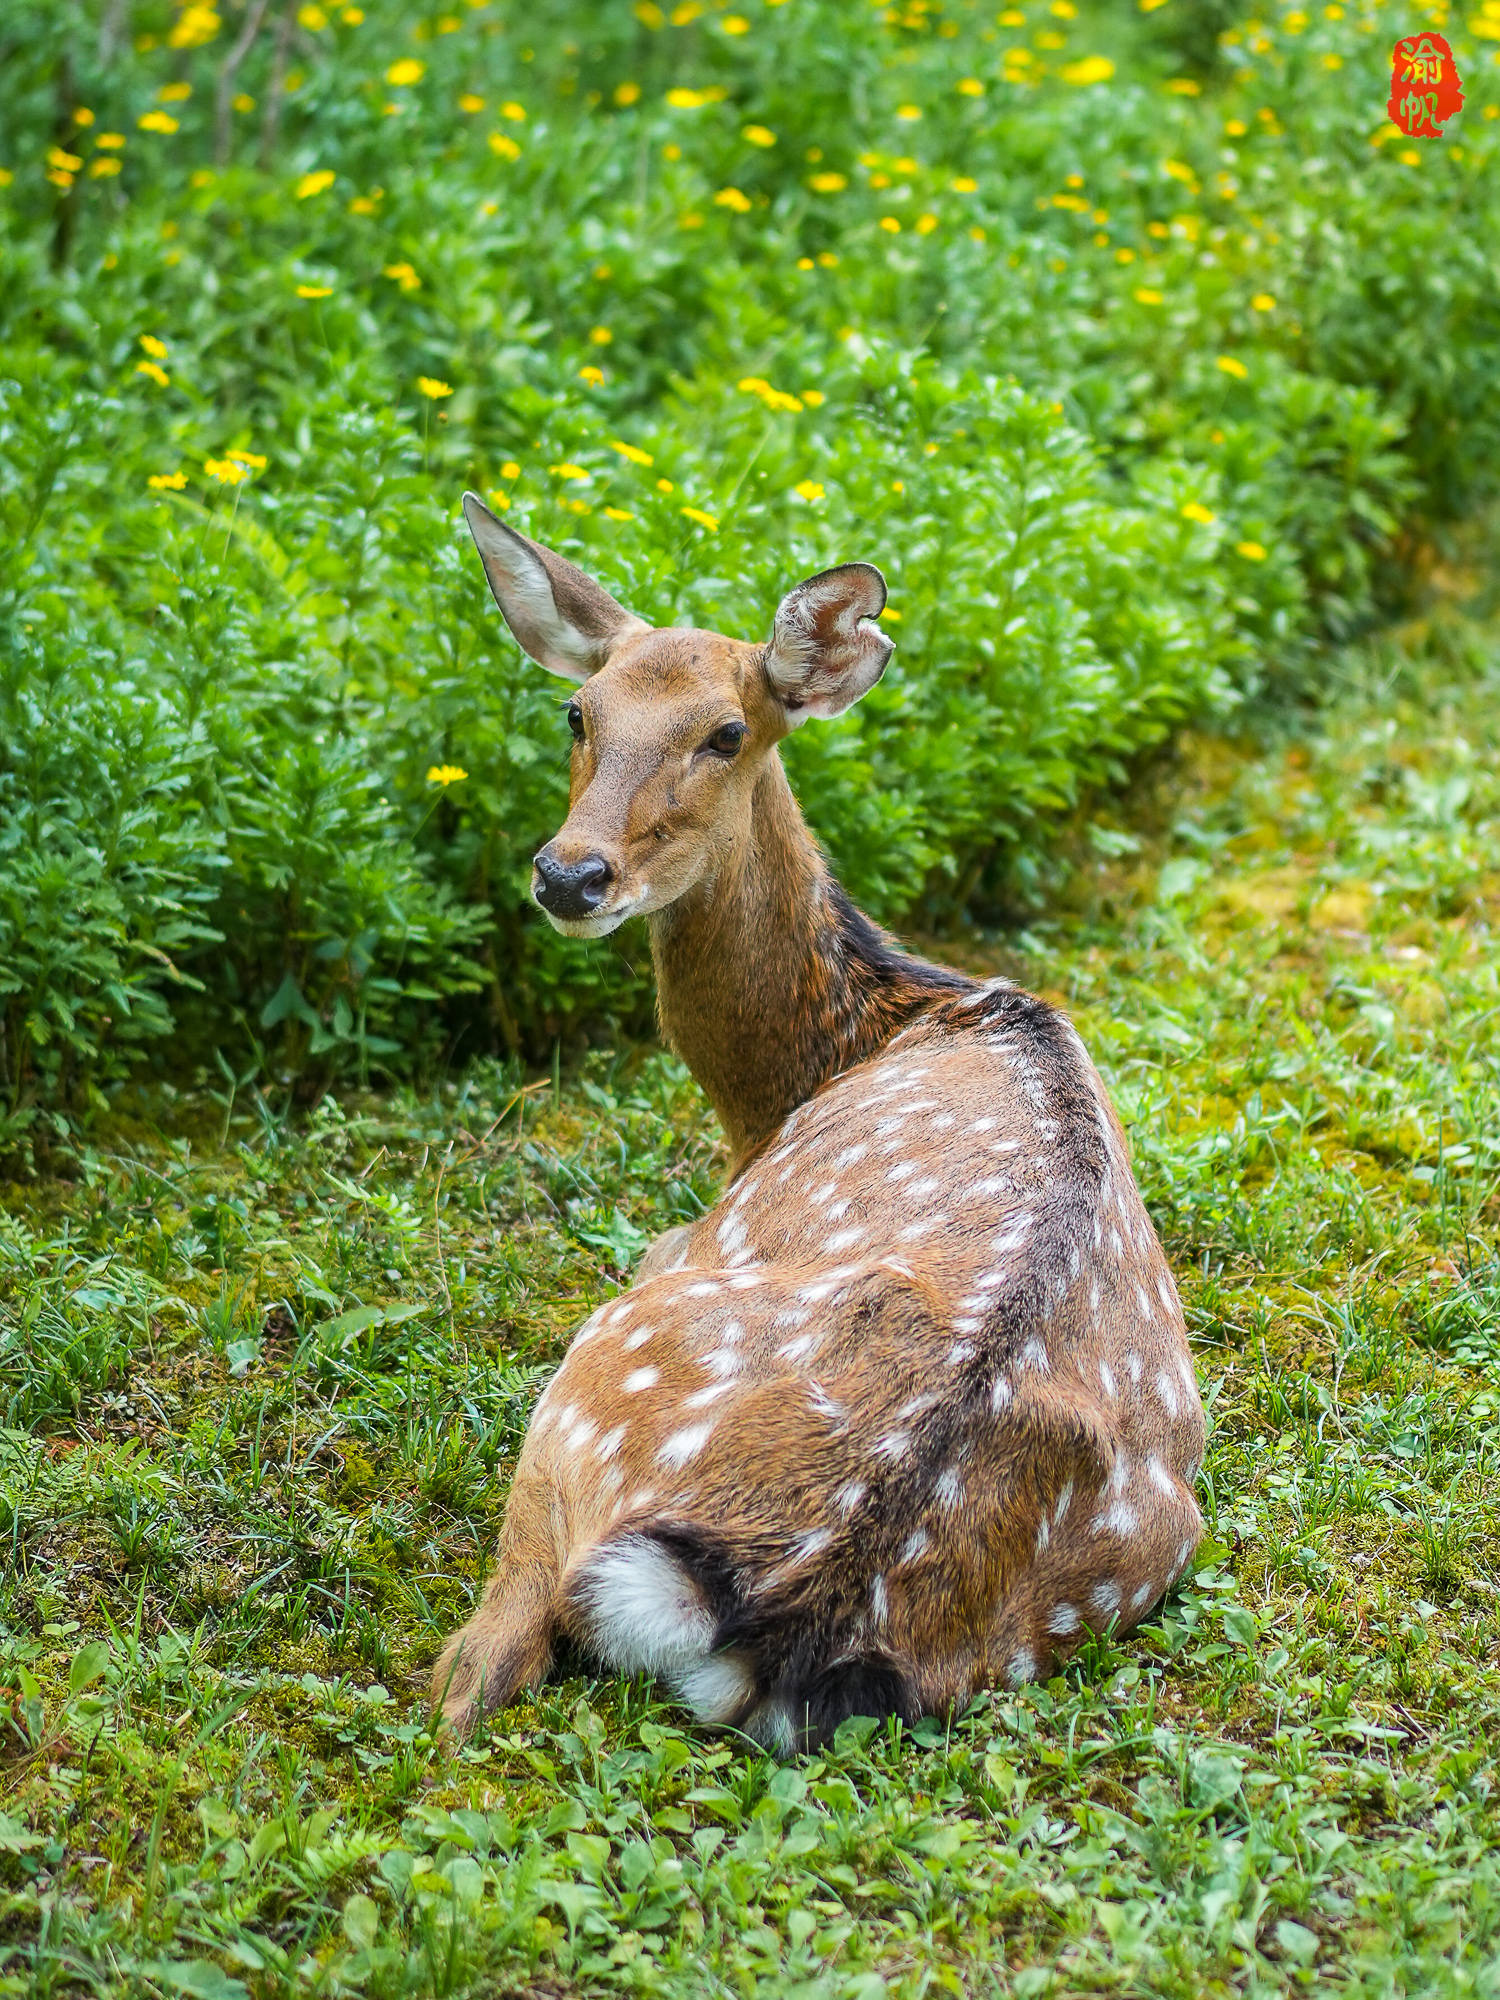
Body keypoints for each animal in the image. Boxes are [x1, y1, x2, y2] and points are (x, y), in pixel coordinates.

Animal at [434, 500, 1208, 1752]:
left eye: (725, 731)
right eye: (577, 711)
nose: (570, 873)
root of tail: (810, 1598)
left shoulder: (672, 1241)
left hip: (617, 1351)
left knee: (490, 1654)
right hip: (1132, 1552)